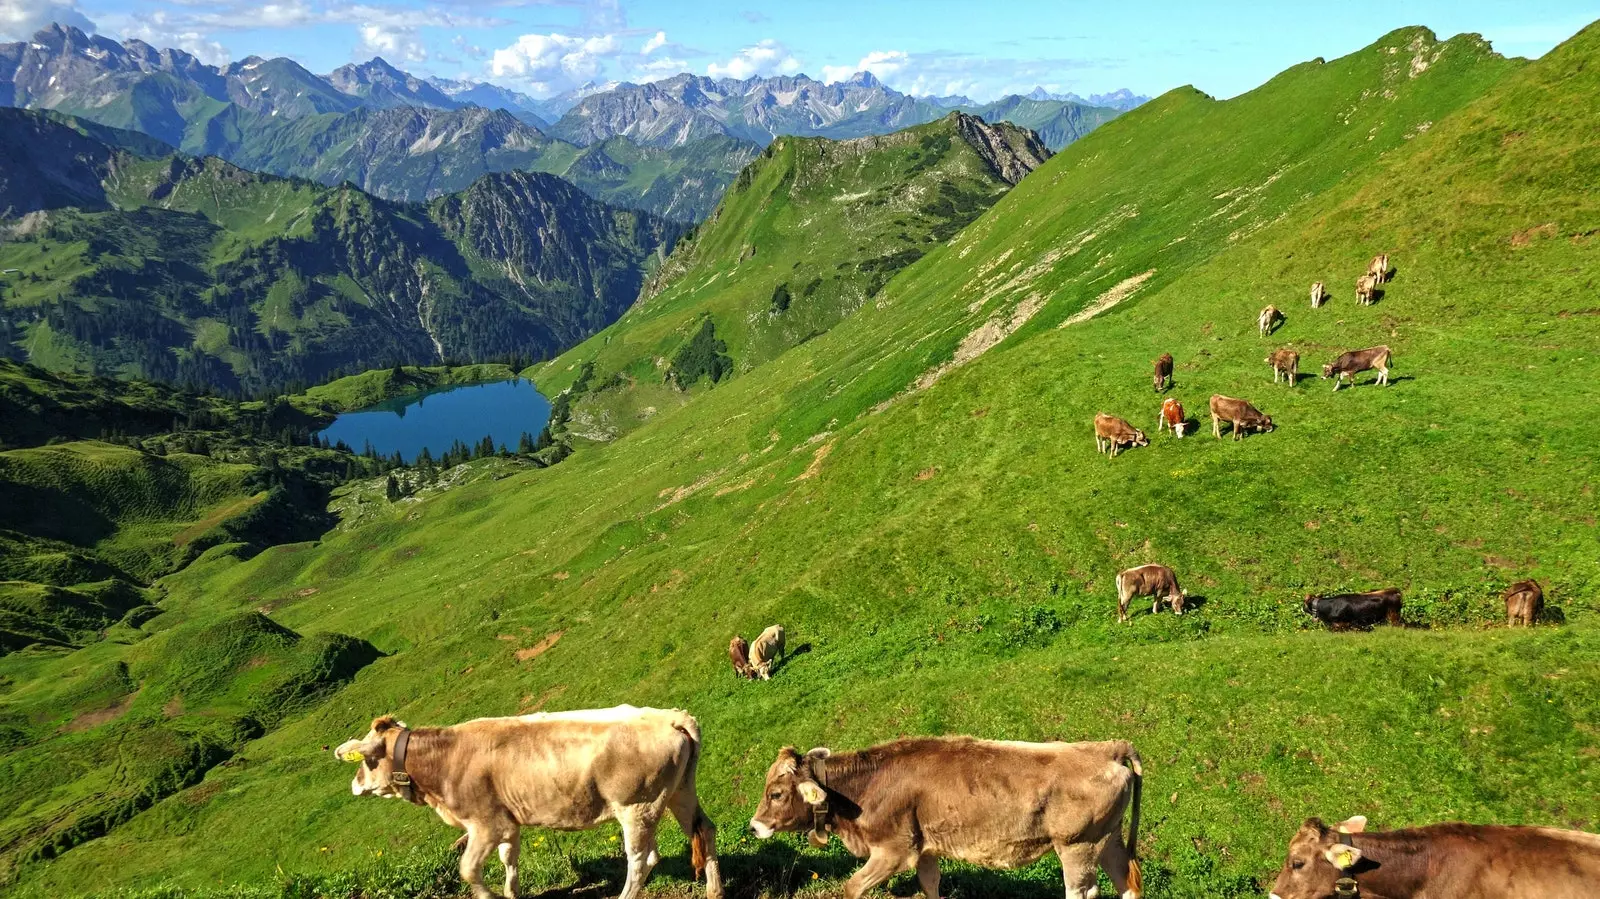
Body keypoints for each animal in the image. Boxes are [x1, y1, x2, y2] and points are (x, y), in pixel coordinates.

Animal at [337, 703, 726, 895]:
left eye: (367, 761)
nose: (355, 785)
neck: (446, 760)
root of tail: (670, 717)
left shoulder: (485, 824)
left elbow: (468, 869)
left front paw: (489, 895)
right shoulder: (508, 823)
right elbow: (509, 863)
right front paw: (510, 894)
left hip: (636, 806)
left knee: (641, 860)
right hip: (678, 792)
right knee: (704, 830)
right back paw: (714, 890)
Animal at [752, 735, 1145, 895]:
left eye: (775, 793)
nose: (754, 827)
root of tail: (1106, 748)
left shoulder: (894, 851)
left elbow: (852, 887)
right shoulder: (926, 849)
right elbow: (930, 885)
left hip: (1077, 846)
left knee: (1084, 891)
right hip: (1106, 840)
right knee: (1127, 883)